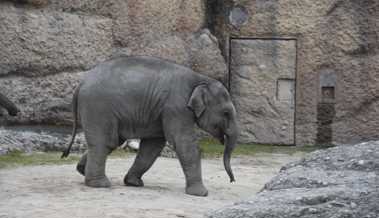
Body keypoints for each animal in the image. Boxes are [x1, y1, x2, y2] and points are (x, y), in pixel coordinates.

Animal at [62, 55, 239, 197]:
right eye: (226, 113)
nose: (232, 180)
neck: (200, 78)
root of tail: (81, 83)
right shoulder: (176, 107)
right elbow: (183, 143)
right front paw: (201, 194)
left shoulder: (162, 112)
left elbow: (153, 146)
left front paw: (133, 183)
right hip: (98, 108)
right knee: (105, 142)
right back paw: (100, 185)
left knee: (110, 141)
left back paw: (82, 171)